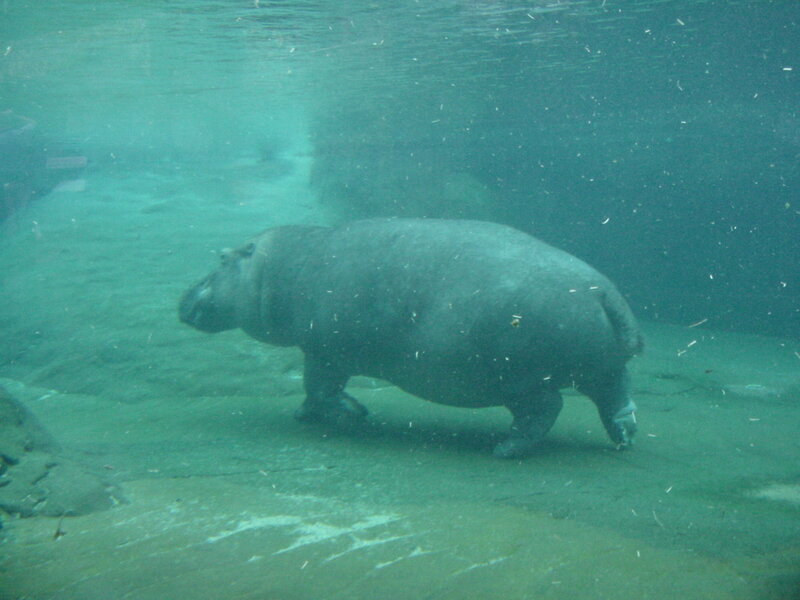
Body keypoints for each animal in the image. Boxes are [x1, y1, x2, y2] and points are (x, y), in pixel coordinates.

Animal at [179, 218, 642, 457]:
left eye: (222, 258)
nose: (183, 296)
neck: (279, 268)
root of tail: (603, 293)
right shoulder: (323, 351)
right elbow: (317, 390)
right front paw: (314, 414)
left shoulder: (323, 351)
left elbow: (321, 388)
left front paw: (345, 414)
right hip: (600, 368)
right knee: (616, 399)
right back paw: (625, 437)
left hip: (520, 377)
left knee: (546, 409)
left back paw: (505, 448)